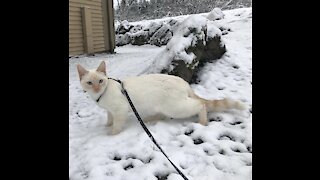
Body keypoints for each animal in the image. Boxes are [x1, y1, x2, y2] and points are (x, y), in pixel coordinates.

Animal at [77, 61, 245, 134]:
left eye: (100, 81)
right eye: (90, 83)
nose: (97, 88)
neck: (101, 95)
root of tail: (183, 81)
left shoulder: (120, 110)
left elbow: (117, 125)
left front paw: (112, 133)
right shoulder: (110, 111)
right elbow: (109, 118)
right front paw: (107, 125)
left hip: (175, 108)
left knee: (200, 105)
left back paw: (203, 122)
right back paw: (149, 119)